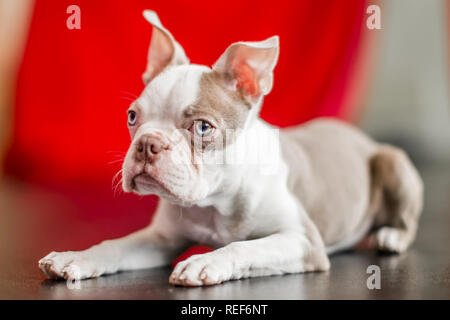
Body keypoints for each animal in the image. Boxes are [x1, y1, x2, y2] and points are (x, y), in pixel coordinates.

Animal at [37, 11, 422, 286]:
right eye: (132, 117)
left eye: (203, 127)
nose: (148, 143)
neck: (215, 200)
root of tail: (359, 136)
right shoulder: (160, 238)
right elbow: (116, 245)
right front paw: (77, 257)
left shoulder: (302, 241)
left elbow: (245, 245)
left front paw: (205, 261)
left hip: (393, 163)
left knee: (405, 220)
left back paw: (391, 235)